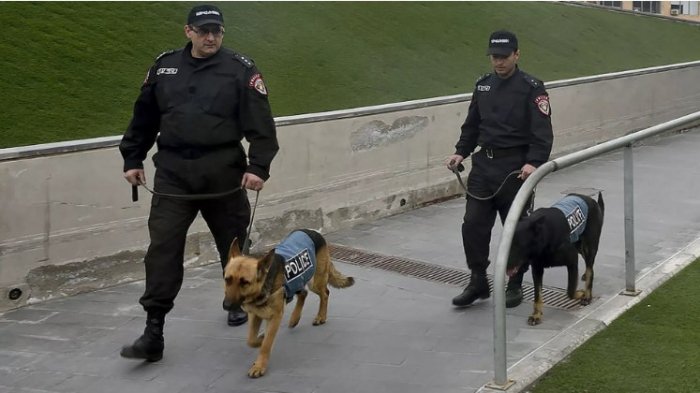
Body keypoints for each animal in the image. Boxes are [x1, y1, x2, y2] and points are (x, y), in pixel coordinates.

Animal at [119, 5, 278, 362]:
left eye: (216, 31)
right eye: (204, 30)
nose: (212, 37)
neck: (199, 61)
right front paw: (150, 338)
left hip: (226, 198)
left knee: (230, 226)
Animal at [224, 230, 356, 376]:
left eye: (244, 282)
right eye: (227, 279)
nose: (226, 306)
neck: (262, 286)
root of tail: (313, 232)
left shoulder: (275, 317)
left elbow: (266, 345)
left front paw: (259, 365)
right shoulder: (255, 315)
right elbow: (251, 340)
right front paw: (260, 339)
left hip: (315, 281)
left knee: (325, 294)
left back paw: (321, 316)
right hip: (299, 281)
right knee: (304, 293)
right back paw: (294, 319)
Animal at [448, 29, 552, 306]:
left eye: (504, 55)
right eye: (495, 55)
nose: (498, 62)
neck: (505, 79)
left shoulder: (538, 94)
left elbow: (540, 133)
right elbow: (474, 226)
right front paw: (475, 288)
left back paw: (514, 290)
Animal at [506, 191, 604, 324]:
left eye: (519, 245)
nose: (504, 266)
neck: (544, 237)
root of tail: (591, 200)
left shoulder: (572, 260)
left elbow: (570, 291)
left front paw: (581, 293)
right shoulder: (537, 269)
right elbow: (537, 295)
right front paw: (537, 314)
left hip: (589, 245)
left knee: (590, 268)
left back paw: (588, 295)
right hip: (579, 245)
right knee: (588, 264)